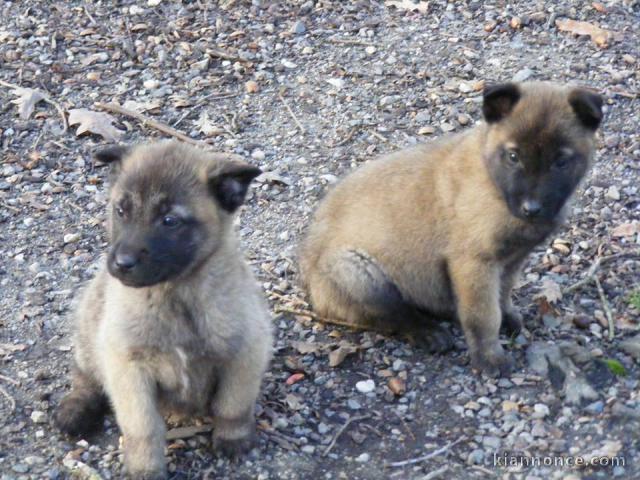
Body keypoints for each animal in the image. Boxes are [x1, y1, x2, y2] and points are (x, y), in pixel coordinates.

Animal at [54, 141, 272, 478]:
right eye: (121, 210)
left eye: (170, 221)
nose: (121, 263)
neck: (175, 294)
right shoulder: (127, 367)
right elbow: (142, 428)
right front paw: (145, 468)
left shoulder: (246, 352)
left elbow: (233, 405)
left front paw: (233, 438)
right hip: (90, 329)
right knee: (84, 376)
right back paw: (75, 409)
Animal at [298, 81, 600, 376]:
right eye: (513, 156)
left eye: (561, 161)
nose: (532, 209)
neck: (494, 184)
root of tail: (309, 280)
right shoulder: (475, 263)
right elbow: (483, 315)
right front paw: (489, 358)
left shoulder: (512, 260)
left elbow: (502, 295)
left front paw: (506, 317)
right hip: (358, 273)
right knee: (393, 314)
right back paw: (429, 332)